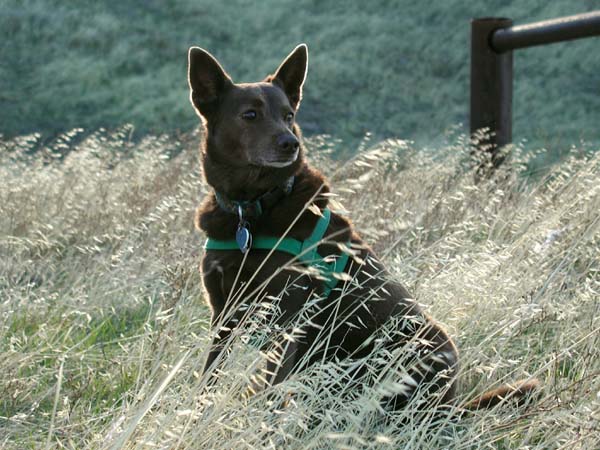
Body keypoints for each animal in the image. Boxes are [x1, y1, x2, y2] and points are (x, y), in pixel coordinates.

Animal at [185, 44, 536, 412]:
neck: (251, 209)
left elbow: (270, 390)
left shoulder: (287, 320)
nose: (290, 143)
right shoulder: (222, 316)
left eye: (288, 115)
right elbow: (209, 377)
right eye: (250, 115)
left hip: (425, 345)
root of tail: (450, 407)